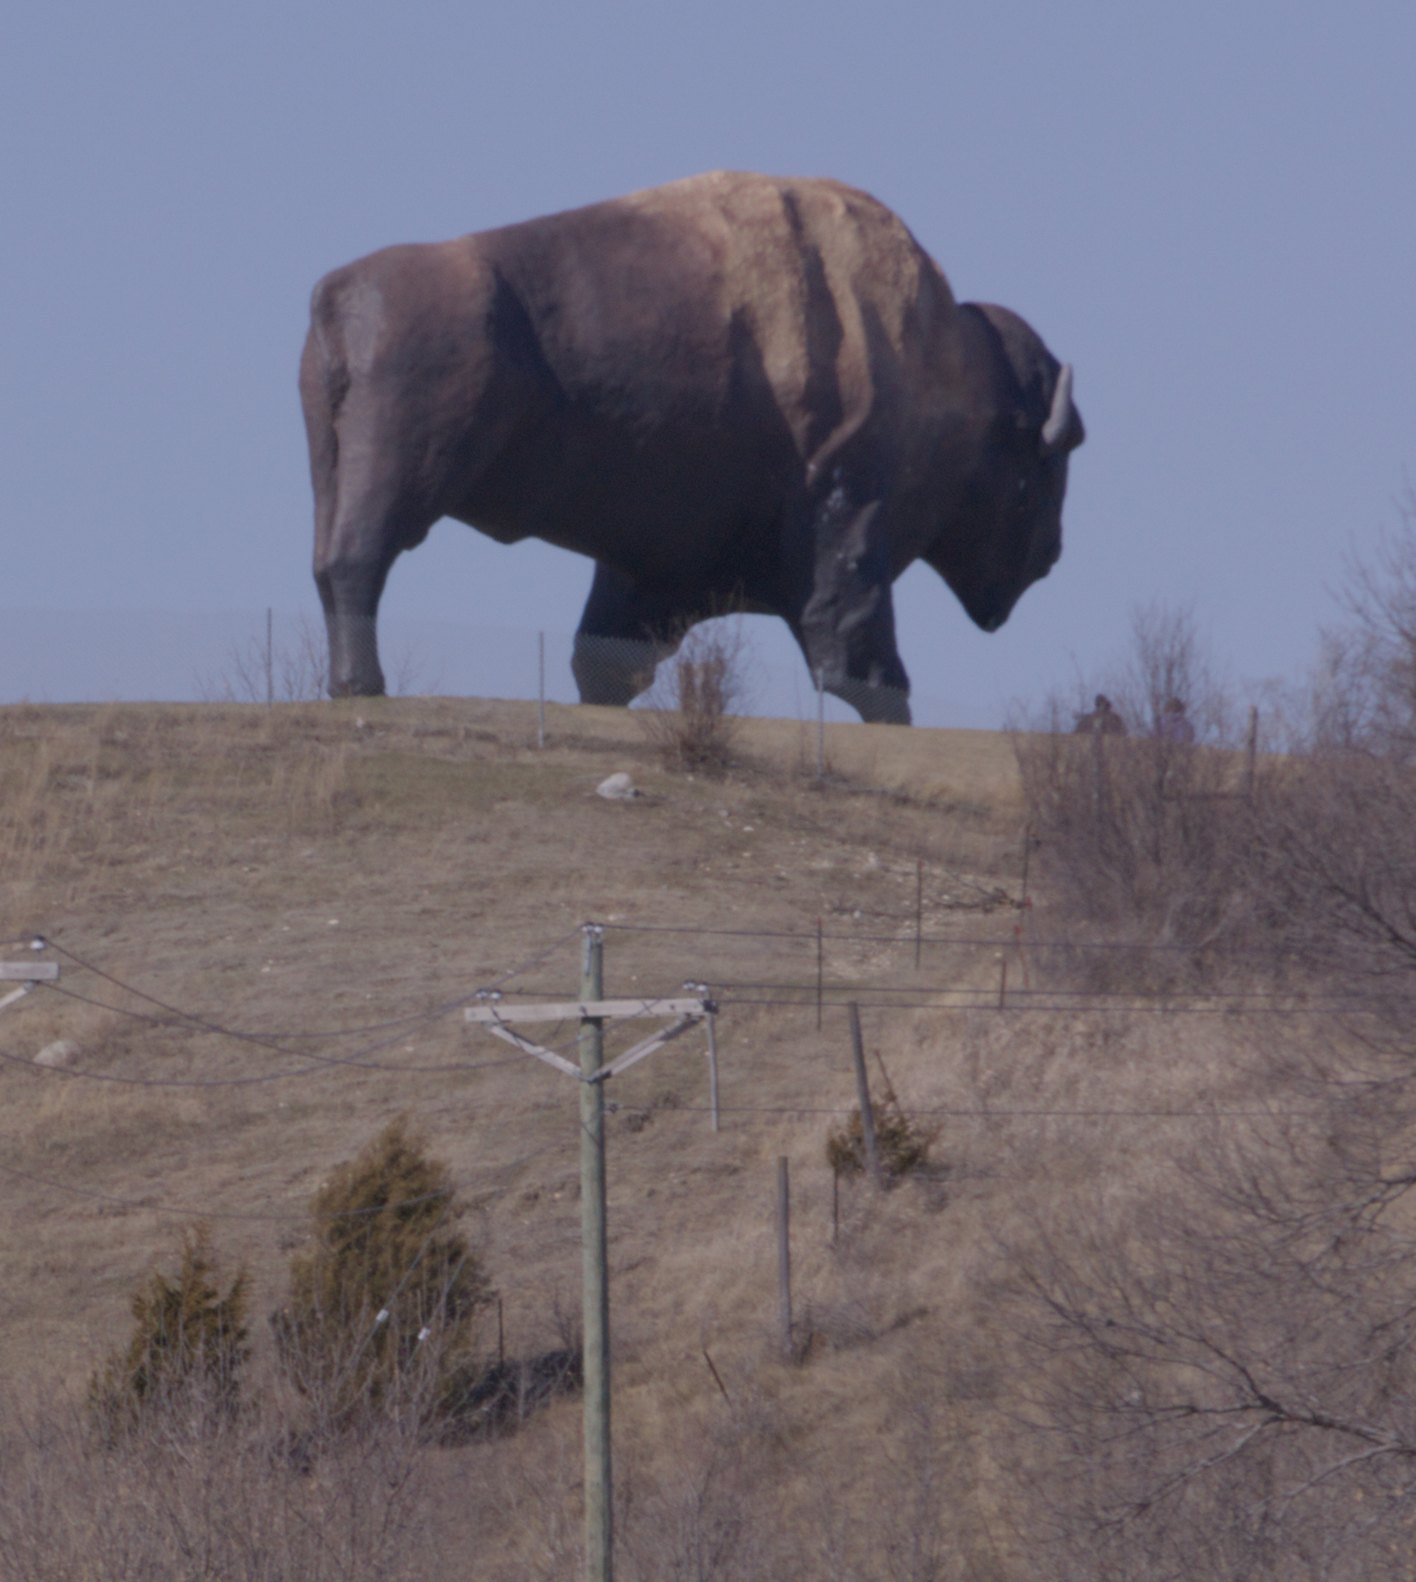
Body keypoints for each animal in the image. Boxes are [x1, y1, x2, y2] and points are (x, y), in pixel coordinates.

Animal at [301, 171, 1083, 723]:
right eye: (1053, 458)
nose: (1052, 556)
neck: (944, 370)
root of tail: (339, 296)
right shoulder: (848, 520)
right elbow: (855, 653)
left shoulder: (645, 569)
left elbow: (609, 656)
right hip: (403, 477)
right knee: (360, 561)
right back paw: (364, 688)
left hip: (335, 474)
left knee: (330, 565)